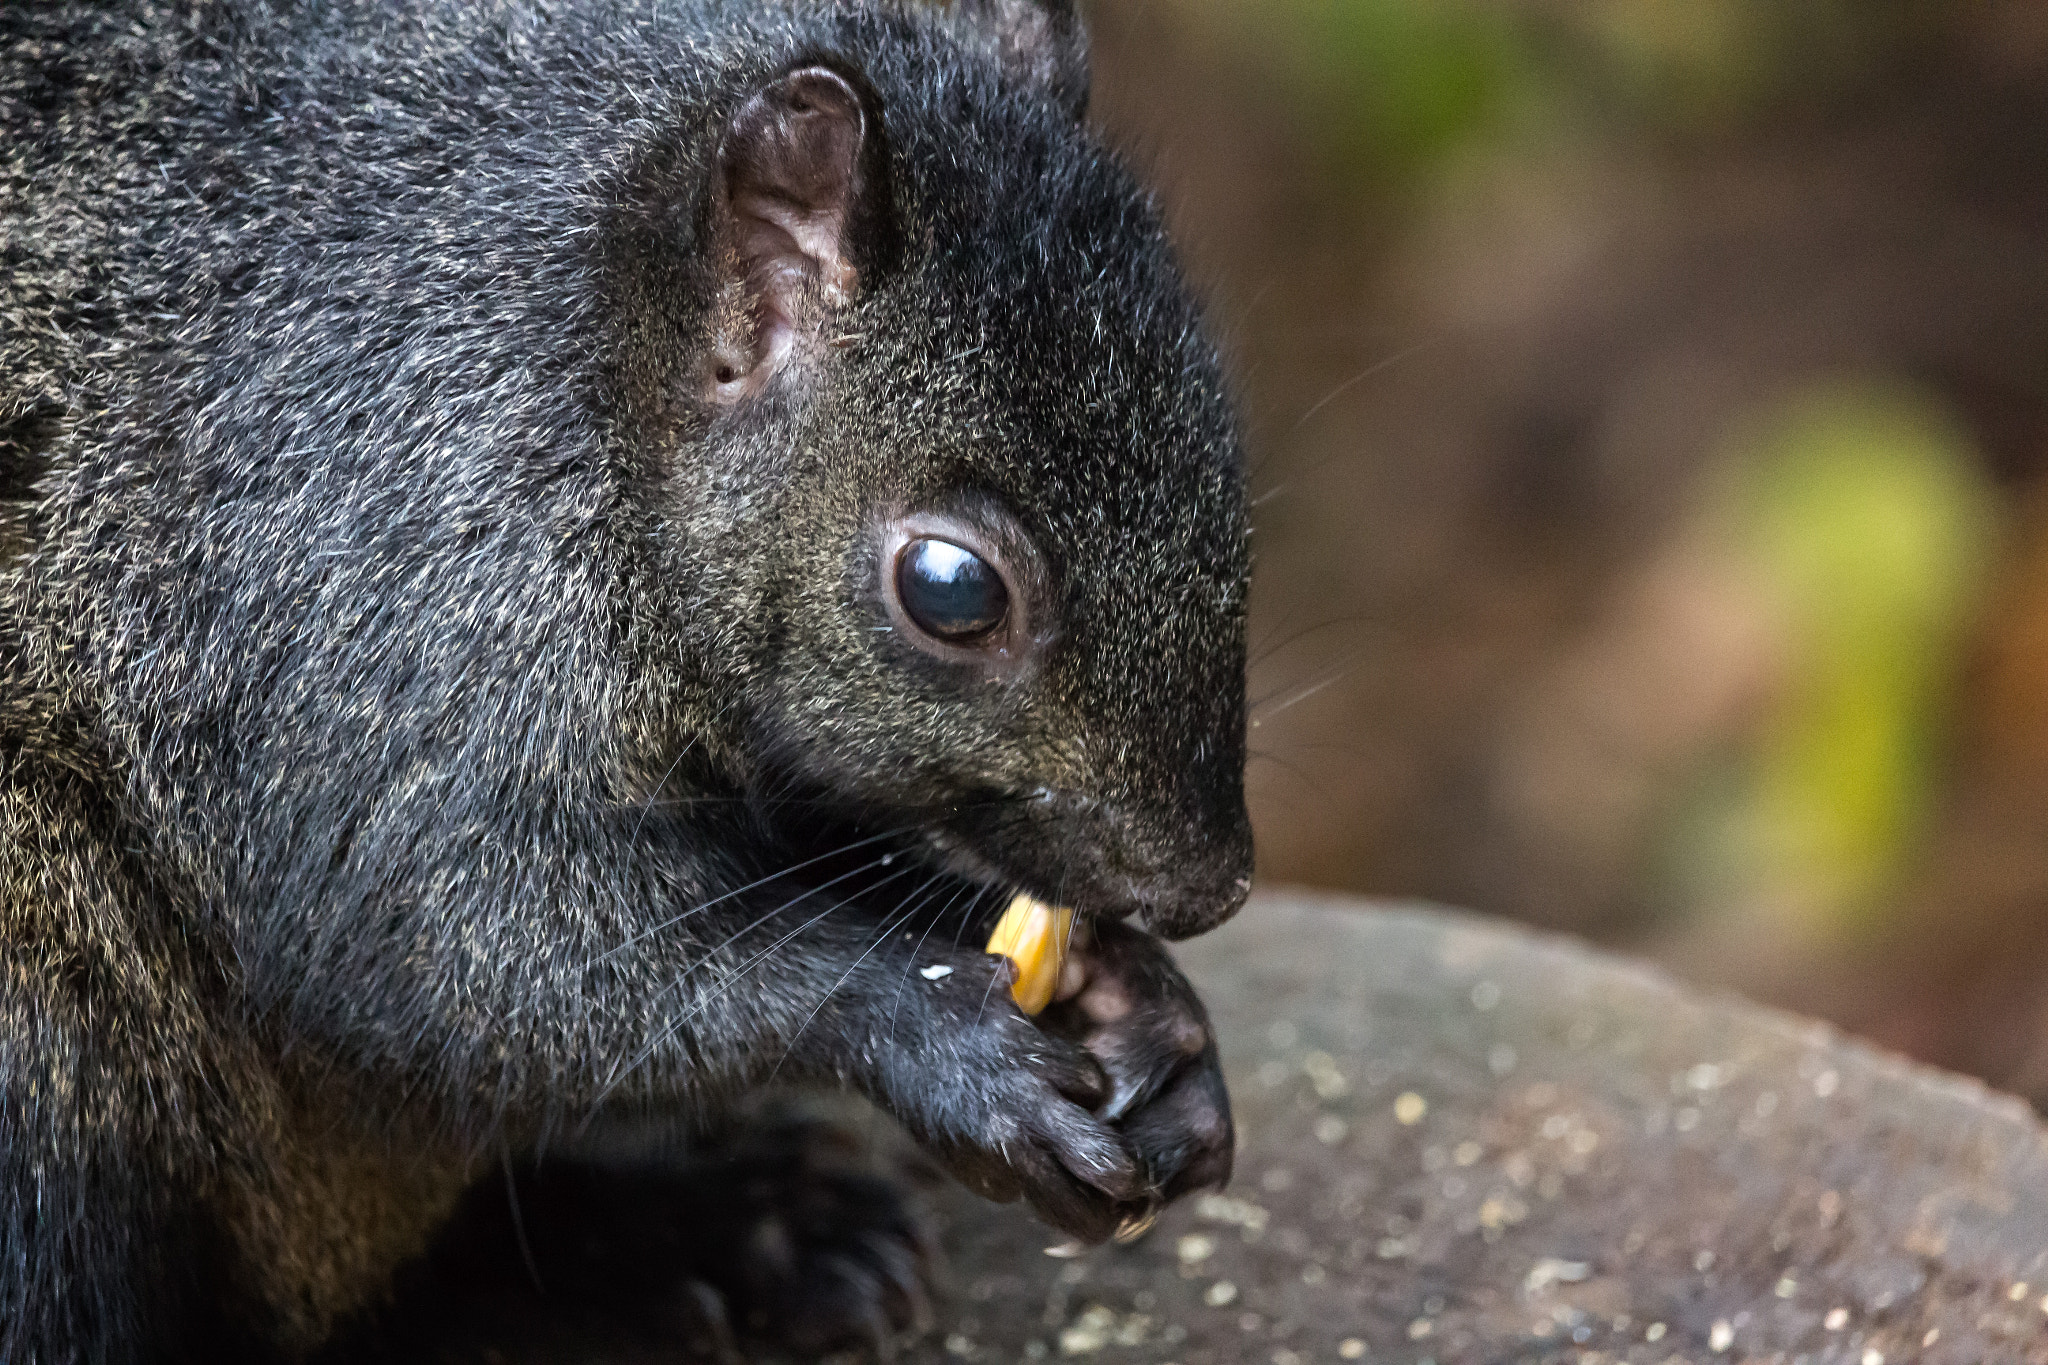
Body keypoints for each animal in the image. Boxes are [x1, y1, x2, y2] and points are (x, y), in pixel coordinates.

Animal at [0, 0, 1253, 1359]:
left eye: (1220, 453)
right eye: (952, 589)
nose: (1207, 886)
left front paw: (1142, 1013)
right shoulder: (369, 589)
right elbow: (463, 937)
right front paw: (944, 1042)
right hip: (41, 1064)